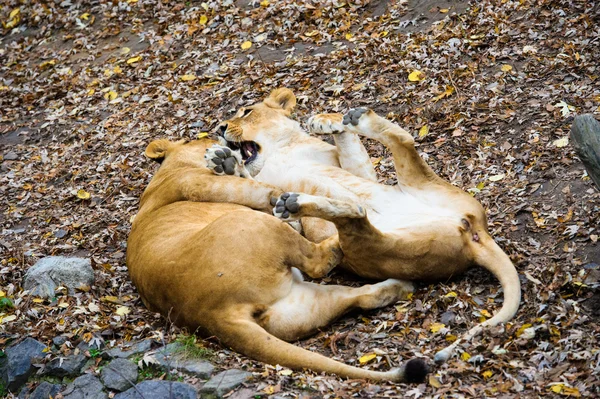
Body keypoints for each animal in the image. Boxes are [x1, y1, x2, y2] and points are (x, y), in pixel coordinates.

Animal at [126, 138, 428, 384]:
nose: (221, 137)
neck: (165, 173)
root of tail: (212, 315)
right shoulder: (196, 182)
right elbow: (263, 188)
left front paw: (227, 161)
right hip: (249, 222)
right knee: (319, 260)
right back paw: (344, 219)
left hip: (301, 305)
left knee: (361, 296)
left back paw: (401, 283)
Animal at [214, 89, 520, 364]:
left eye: (246, 111)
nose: (219, 128)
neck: (278, 151)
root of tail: (473, 236)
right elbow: (254, 185)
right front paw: (224, 161)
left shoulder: (354, 170)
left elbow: (353, 156)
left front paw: (326, 122)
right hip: (383, 248)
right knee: (358, 215)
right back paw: (297, 200)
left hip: (425, 194)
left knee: (400, 147)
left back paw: (355, 121)